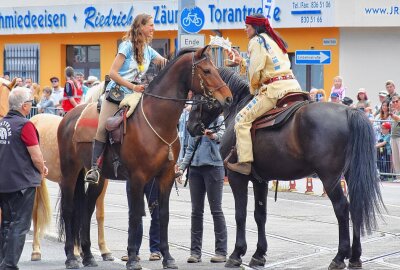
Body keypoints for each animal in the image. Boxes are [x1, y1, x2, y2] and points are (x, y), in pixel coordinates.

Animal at [56, 47, 231, 270]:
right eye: (207, 70)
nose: (228, 98)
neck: (157, 121)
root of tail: (68, 117)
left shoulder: (165, 177)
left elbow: (163, 215)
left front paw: (168, 258)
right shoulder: (137, 179)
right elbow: (135, 215)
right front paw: (132, 258)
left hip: (97, 177)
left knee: (86, 207)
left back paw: (87, 256)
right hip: (69, 172)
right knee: (69, 208)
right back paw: (71, 257)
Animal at [188, 67, 384, 270]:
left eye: (197, 95)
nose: (190, 126)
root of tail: (349, 111)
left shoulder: (237, 177)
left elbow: (240, 214)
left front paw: (236, 254)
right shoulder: (260, 180)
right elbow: (260, 215)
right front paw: (259, 254)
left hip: (330, 177)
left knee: (342, 208)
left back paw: (339, 257)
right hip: (351, 175)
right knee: (356, 207)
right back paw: (355, 258)